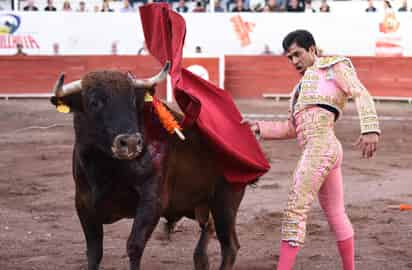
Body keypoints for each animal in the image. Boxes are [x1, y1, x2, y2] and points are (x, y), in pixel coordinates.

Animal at [48, 62, 248, 268]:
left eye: (132, 101)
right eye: (94, 102)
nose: (130, 142)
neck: (106, 167)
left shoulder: (152, 200)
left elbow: (134, 246)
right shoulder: (83, 204)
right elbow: (94, 252)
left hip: (226, 202)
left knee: (229, 244)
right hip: (199, 205)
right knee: (208, 227)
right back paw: (200, 260)